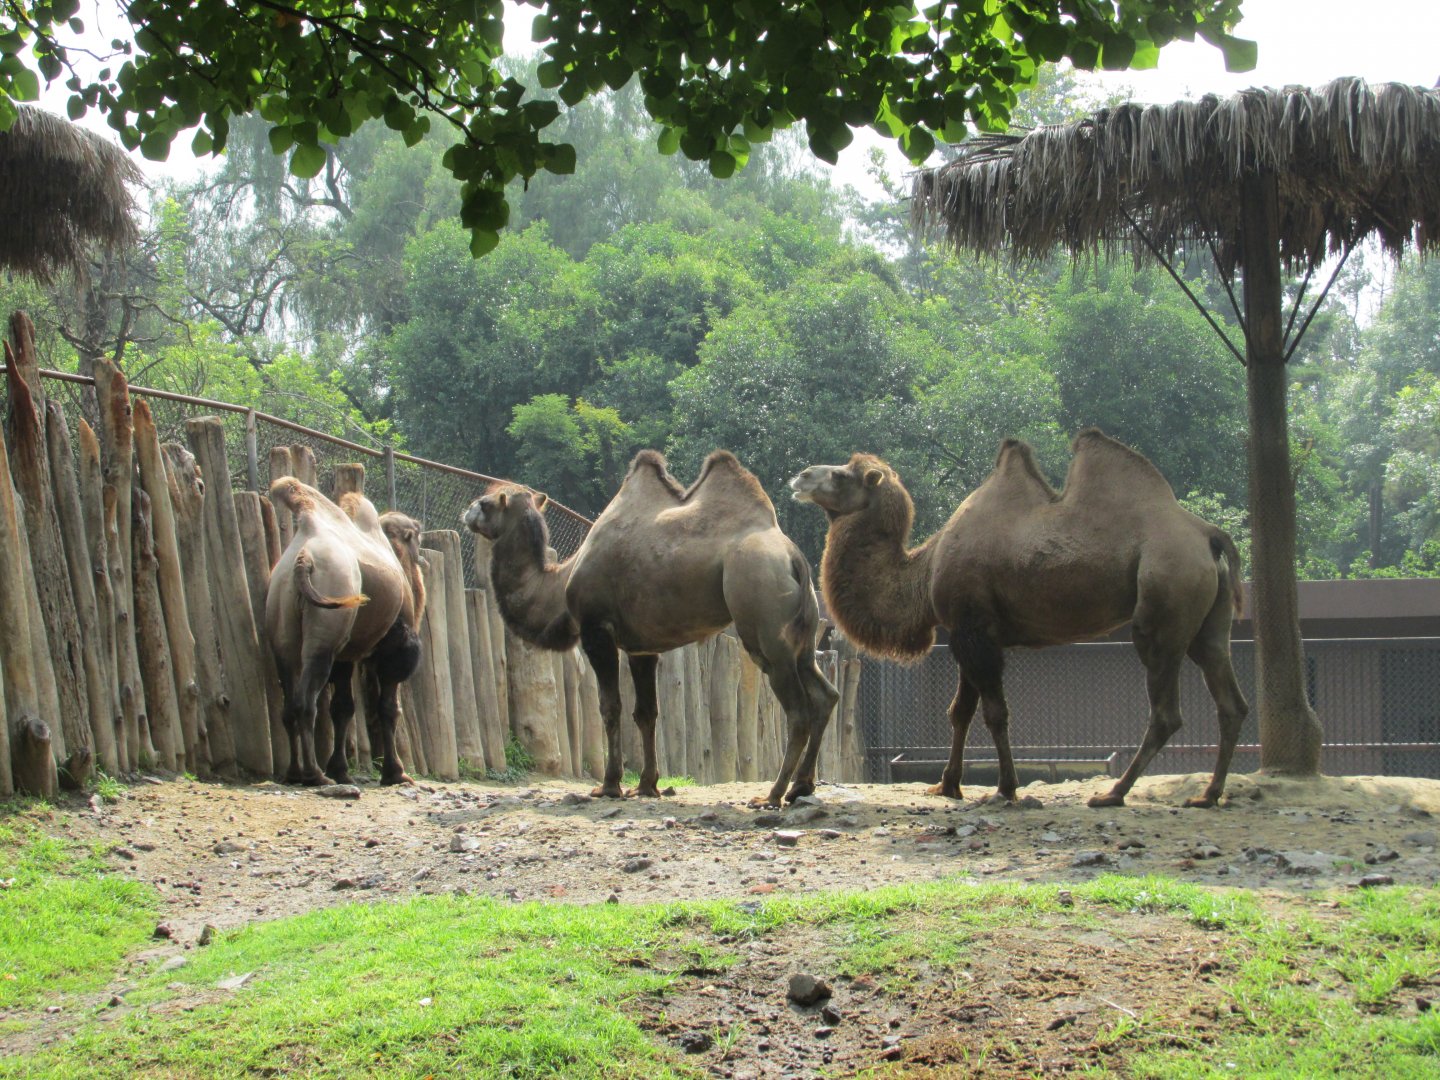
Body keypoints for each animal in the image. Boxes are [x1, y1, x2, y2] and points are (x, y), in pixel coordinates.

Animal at [265, 477, 425, 786]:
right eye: (416, 538)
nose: (421, 557)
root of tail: (303, 558)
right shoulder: (396, 646)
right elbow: (387, 708)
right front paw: (396, 773)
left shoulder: (345, 658)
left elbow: (343, 708)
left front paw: (339, 769)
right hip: (328, 617)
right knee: (306, 700)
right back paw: (314, 774)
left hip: (282, 617)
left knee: (289, 702)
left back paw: (294, 772)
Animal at [463, 450, 838, 806]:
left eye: (486, 503)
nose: (467, 512)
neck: (559, 586)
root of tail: (794, 560)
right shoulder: (642, 649)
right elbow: (646, 713)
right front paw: (646, 786)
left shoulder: (596, 630)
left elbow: (610, 706)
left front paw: (609, 786)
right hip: (802, 640)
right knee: (825, 695)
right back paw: (801, 787)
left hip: (763, 617)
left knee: (798, 710)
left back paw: (771, 795)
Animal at [789, 429, 1249, 809]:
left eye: (843, 475)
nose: (801, 476)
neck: (926, 567)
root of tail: (1209, 536)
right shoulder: (964, 632)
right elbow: (960, 710)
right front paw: (946, 785)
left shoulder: (975, 630)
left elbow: (994, 712)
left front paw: (1005, 789)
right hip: (1208, 622)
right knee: (1231, 701)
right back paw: (1208, 795)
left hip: (1163, 607)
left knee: (1166, 711)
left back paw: (1113, 794)